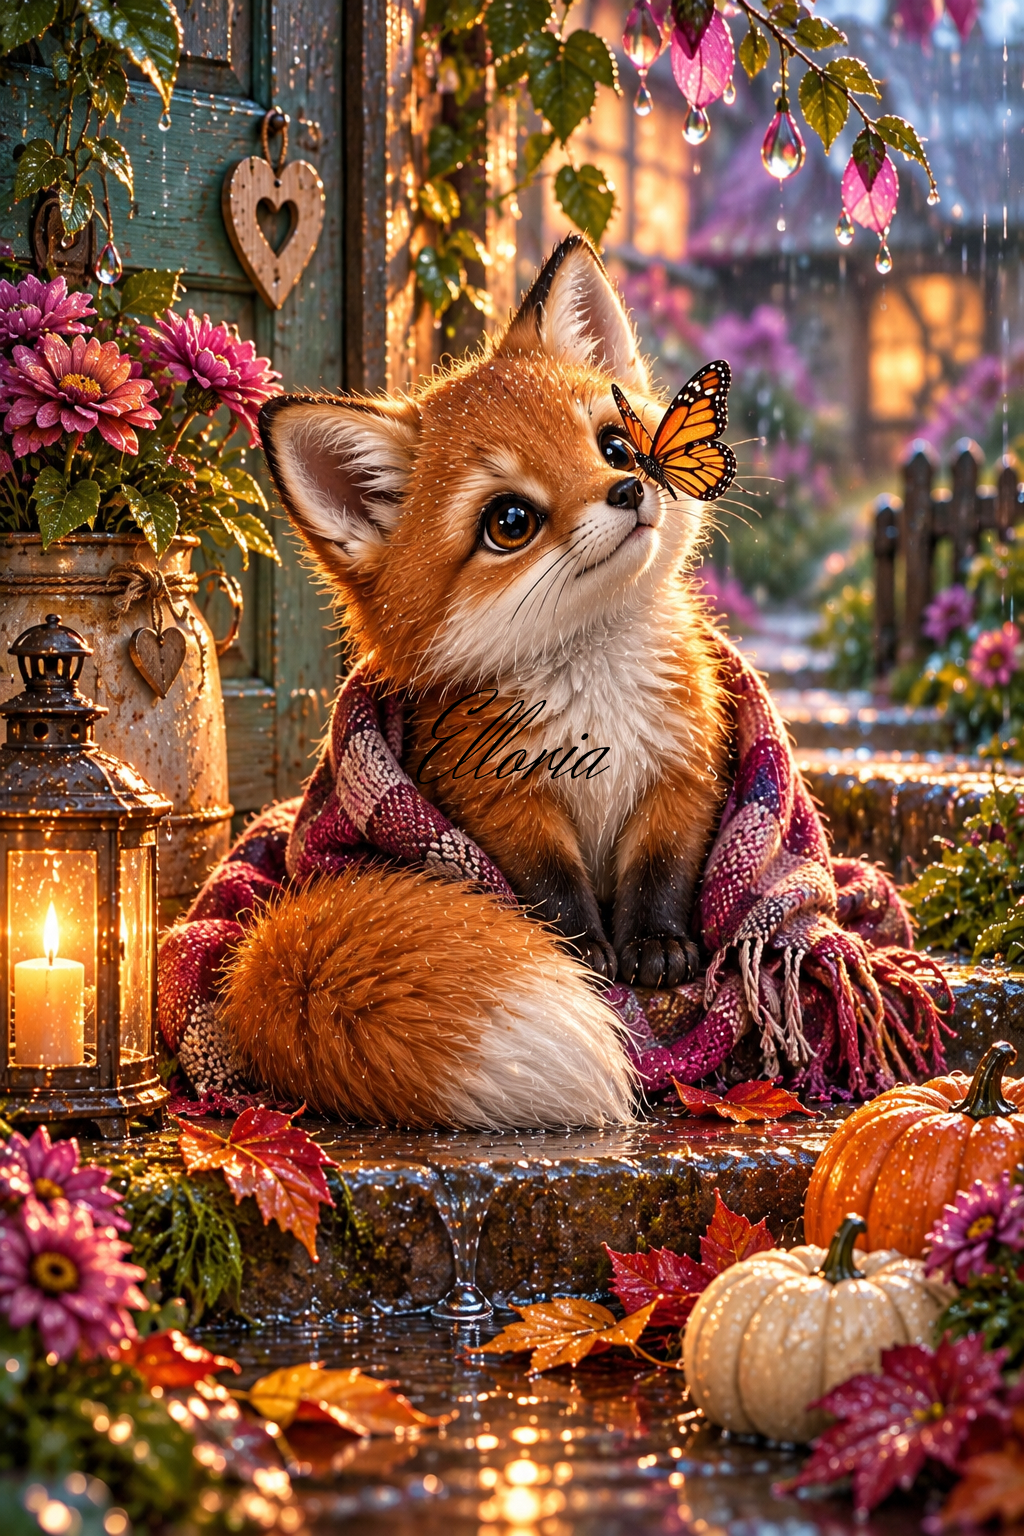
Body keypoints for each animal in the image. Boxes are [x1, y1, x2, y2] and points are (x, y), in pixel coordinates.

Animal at [220, 235, 735, 1129]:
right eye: (510, 522)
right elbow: (552, 895)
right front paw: (584, 956)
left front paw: (659, 946)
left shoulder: (682, 775)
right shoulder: (499, 802)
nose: (629, 489)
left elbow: (663, 873)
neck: (597, 703)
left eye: (615, 445)